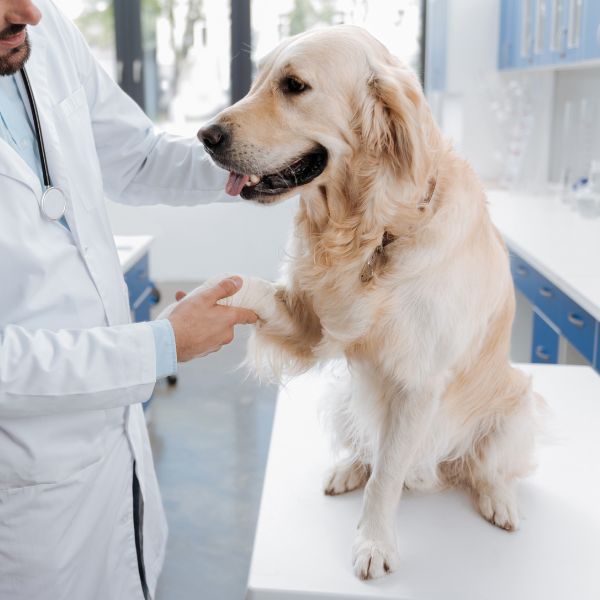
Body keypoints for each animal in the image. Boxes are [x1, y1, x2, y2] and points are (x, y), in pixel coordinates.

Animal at [178, 25, 540, 580]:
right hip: (342, 398)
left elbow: (387, 478)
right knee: (367, 448)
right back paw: (346, 470)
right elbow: (253, 288)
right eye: (258, 79)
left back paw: (497, 499)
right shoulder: (310, 324)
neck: (371, 228)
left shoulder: (419, 383)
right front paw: (202, 300)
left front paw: (373, 543)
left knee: (484, 467)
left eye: (294, 85)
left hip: (516, 409)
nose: (205, 137)